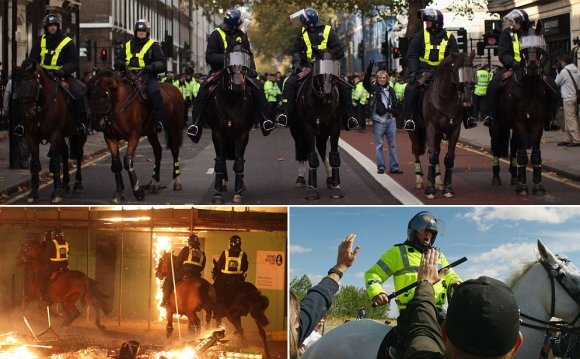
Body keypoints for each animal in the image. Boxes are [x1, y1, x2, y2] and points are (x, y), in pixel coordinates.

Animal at [11, 60, 87, 204]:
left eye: (31, 82)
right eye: (17, 82)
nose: (27, 113)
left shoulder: (55, 134)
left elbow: (54, 164)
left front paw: (56, 194)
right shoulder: (31, 137)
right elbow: (34, 165)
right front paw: (33, 194)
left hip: (79, 134)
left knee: (79, 155)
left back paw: (78, 184)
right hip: (63, 135)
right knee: (65, 154)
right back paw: (65, 183)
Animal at [86, 70, 184, 204]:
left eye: (103, 97)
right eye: (89, 99)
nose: (99, 125)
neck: (120, 103)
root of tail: (174, 88)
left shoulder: (133, 136)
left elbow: (128, 161)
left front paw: (138, 191)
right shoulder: (110, 137)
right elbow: (116, 164)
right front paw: (119, 194)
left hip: (174, 127)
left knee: (174, 151)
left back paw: (177, 181)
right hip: (151, 132)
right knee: (158, 150)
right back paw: (154, 183)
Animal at [206, 43, 256, 204]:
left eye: (246, 57)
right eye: (228, 58)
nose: (238, 84)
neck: (231, 101)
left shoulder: (242, 134)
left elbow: (239, 162)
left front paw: (238, 193)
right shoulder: (217, 133)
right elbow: (220, 162)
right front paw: (217, 194)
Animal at [290, 51, 344, 201]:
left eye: (333, 69)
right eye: (319, 72)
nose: (328, 94)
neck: (320, 102)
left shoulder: (334, 128)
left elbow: (334, 156)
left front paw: (337, 186)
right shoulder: (308, 129)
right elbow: (312, 158)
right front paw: (312, 189)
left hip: (323, 132)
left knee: (321, 148)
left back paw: (330, 178)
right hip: (296, 130)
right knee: (301, 149)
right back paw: (301, 179)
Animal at [408, 50, 476, 200]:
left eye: (471, 68)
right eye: (456, 70)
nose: (467, 99)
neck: (447, 100)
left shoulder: (455, 129)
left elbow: (449, 157)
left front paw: (447, 188)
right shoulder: (431, 128)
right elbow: (431, 155)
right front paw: (430, 189)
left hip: (439, 134)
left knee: (438, 151)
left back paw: (438, 181)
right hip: (415, 132)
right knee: (416, 151)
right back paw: (419, 180)